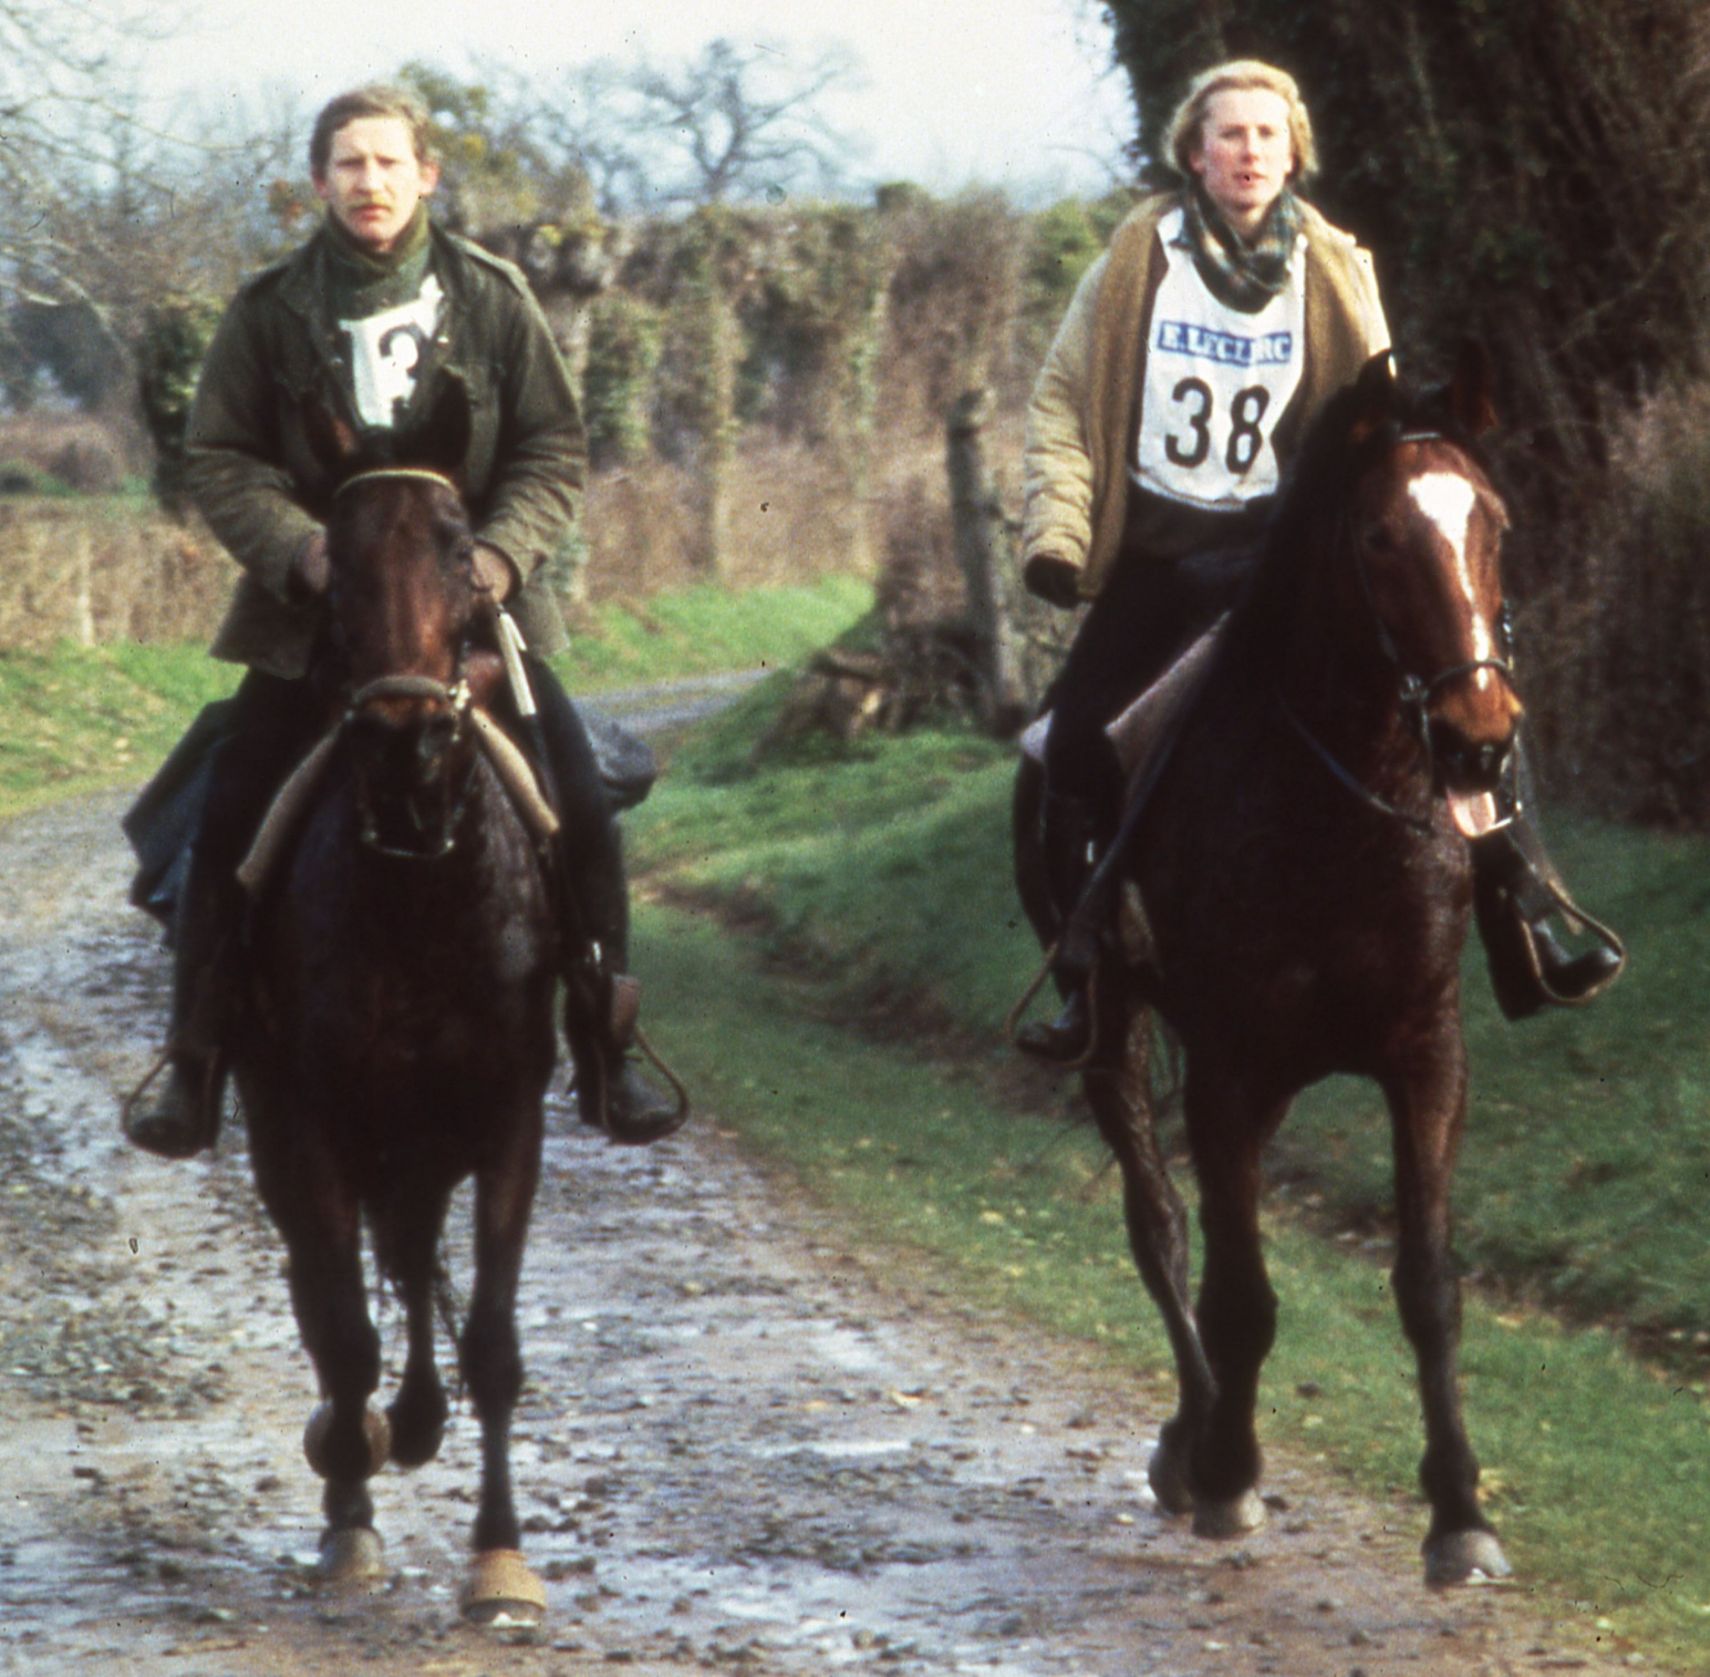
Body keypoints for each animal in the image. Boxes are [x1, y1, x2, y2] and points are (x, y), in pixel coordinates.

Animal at [230, 388, 560, 1621]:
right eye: (337, 561)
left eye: (462, 547)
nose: (405, 735)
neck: (418, 877)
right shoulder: (313, 1124)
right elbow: (342, 1328)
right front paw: (349, 1509)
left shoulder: (508, 1117)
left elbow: (492, 1340)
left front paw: (501, 1559)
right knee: (338, 1292)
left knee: (415, 1265)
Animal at [1014, 350, 1523, 1585]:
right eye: (1380, 537)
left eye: (1495, 524)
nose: (1479, 738)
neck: (1339, 800)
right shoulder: (1228, 1069)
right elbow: (1238, 1290)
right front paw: (1229, 1473)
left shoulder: (1427, 1056)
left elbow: (1429, 1285)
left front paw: (1460, 1513)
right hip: (1114, 1032)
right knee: (1159, 1225)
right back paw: (1198, 1437)